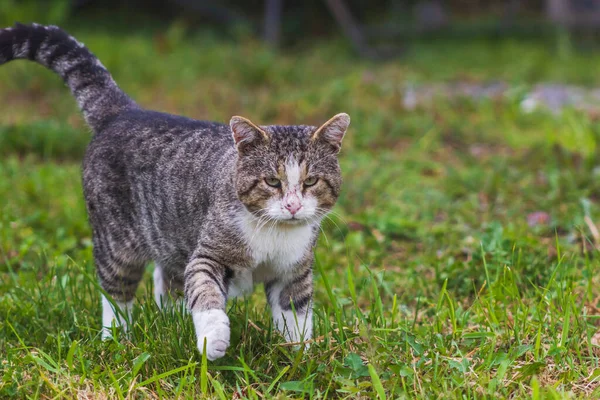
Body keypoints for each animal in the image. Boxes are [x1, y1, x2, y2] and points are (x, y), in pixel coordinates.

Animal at [0, 22, 350, 360]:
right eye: (272, 182)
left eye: (310, 182)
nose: (293, 206)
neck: (274, 234)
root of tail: (125, 112)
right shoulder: (208, 255)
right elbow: (205, 292)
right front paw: (214, 338)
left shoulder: (294, 271)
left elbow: (297, 315)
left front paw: (300, 357)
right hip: (116, 239)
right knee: (115, 292)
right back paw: (116, 339)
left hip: (170, 234)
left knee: (164, 276)